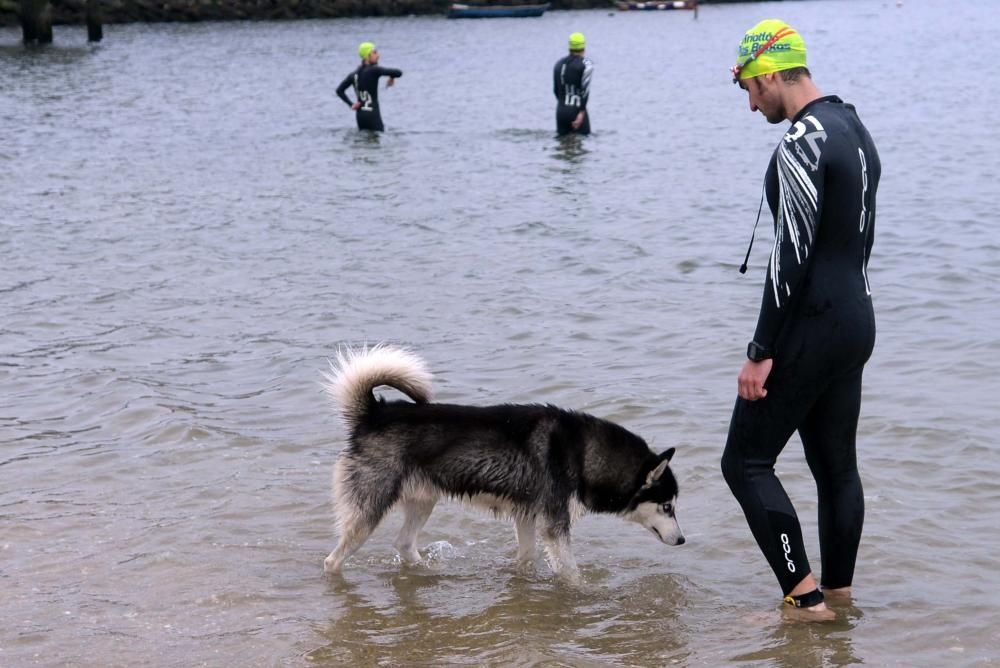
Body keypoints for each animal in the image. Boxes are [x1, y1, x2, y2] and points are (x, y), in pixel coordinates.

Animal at [324, 344, 684, 576]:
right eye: (667, 507)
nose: (682, 540)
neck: (583, 451)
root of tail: (376, 412)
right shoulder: (554, 526)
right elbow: (570, 572)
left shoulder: (526, 517)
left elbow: (526, 558)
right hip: (369, 510)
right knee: (333, 560)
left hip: (423, 501)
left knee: (403, 544)